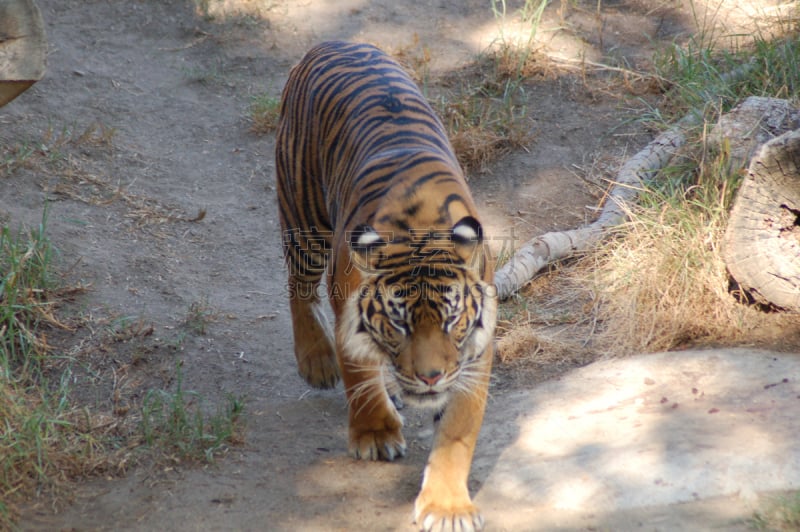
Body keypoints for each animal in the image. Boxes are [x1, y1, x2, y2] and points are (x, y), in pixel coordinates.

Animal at [278, 41, 496, 532]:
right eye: (399, 323)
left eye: (451, 321)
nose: (430, 377)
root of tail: (334, 43)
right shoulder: (348, 308)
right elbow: (359, 373)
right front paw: (376, 434)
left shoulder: (474, 354)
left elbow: (457, 429)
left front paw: (447, 506)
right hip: (303, 219)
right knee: (298, 286)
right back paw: (317, 360)